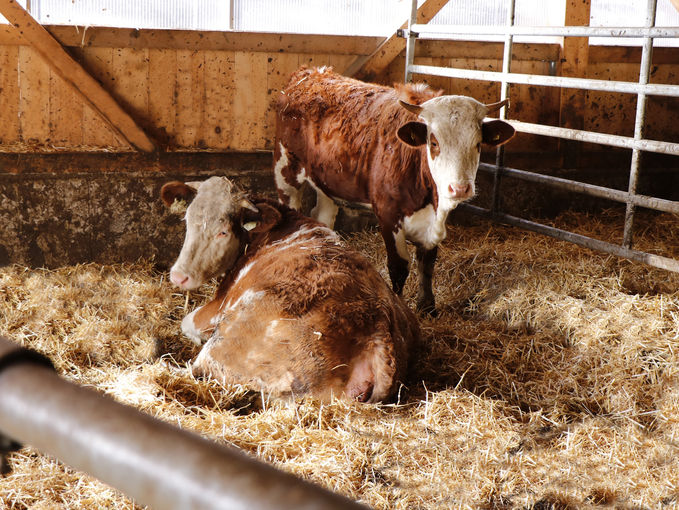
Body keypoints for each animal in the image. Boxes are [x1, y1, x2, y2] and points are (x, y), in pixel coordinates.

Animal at [163, 175, 420, 402]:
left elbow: (187, 323)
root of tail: (379, 329)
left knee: (200, 368)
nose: (179, 275)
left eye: (223, 231)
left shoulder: (216, 308)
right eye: (187, 221)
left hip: (231, 334)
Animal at [274, 66, 516, 314]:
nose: (459, 188)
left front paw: (427, 307)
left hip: (329, 184)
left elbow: (427, 263)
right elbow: (398, 267)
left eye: (477, 144)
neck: (432, 201)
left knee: (322, 216)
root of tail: (311, 73)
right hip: (285, 170)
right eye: (434, 143)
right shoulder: (388, 215)